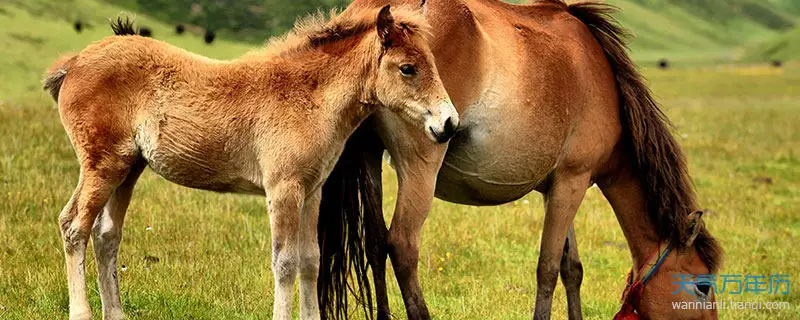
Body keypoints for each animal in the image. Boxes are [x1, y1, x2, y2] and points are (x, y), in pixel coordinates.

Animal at [43, 6, 456, 320]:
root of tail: (74, 63)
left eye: (433, 63)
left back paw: (116, 314)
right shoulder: (283, 189)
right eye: (407, 68)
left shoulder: (312, 192)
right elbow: (284, 263)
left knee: (106, 236)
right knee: (74, 225)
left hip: (128, 168)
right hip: (103, 165)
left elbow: (310, 261)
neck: (307, 98)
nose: (449, 124)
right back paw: (81, 312)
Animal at [318, 0, 724, 320]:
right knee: (401, 244)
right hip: (421, 168)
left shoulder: (557, 187)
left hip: (370, 159)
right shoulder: (573, 181)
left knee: (375, 245)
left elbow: (571, 268)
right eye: (703, 286)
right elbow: (548, 268)